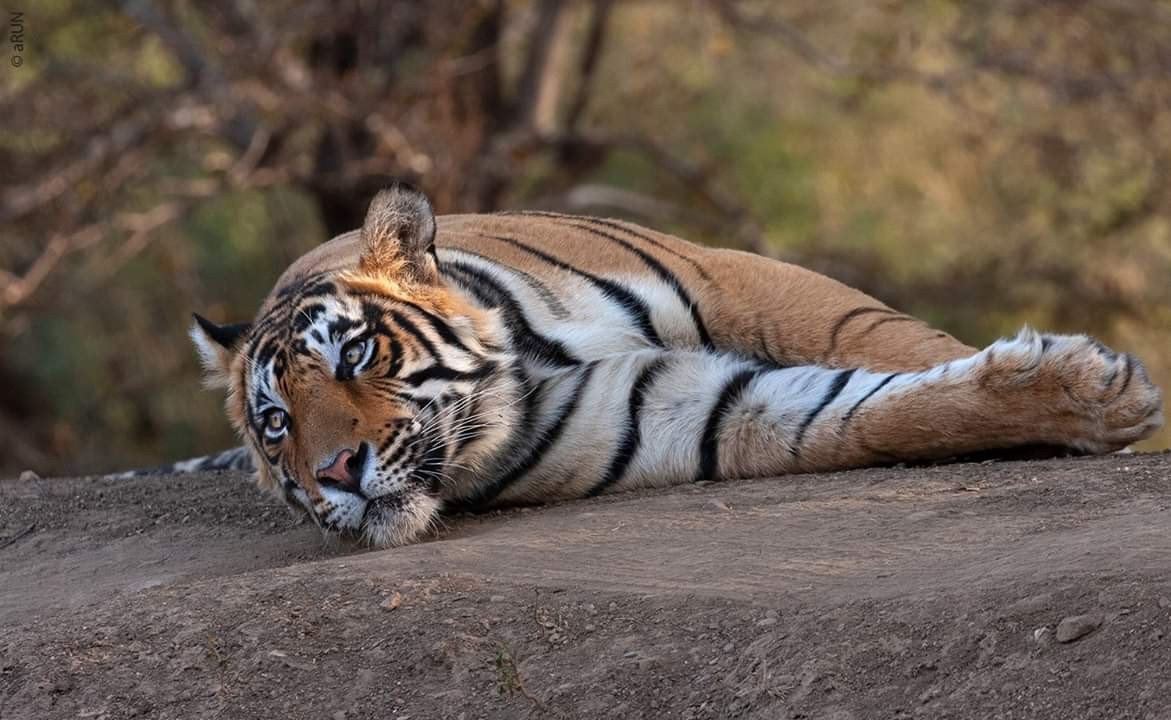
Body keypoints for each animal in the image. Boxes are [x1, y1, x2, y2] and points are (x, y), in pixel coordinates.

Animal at [181, 182, 1163, 547]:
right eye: (276, 424)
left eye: (354, 352)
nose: (335, 473)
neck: (523, 366)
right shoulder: (670, 408)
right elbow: (863, 416)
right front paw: (1088, 394)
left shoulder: (736, 277)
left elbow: (889, 347)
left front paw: (1102, 394)